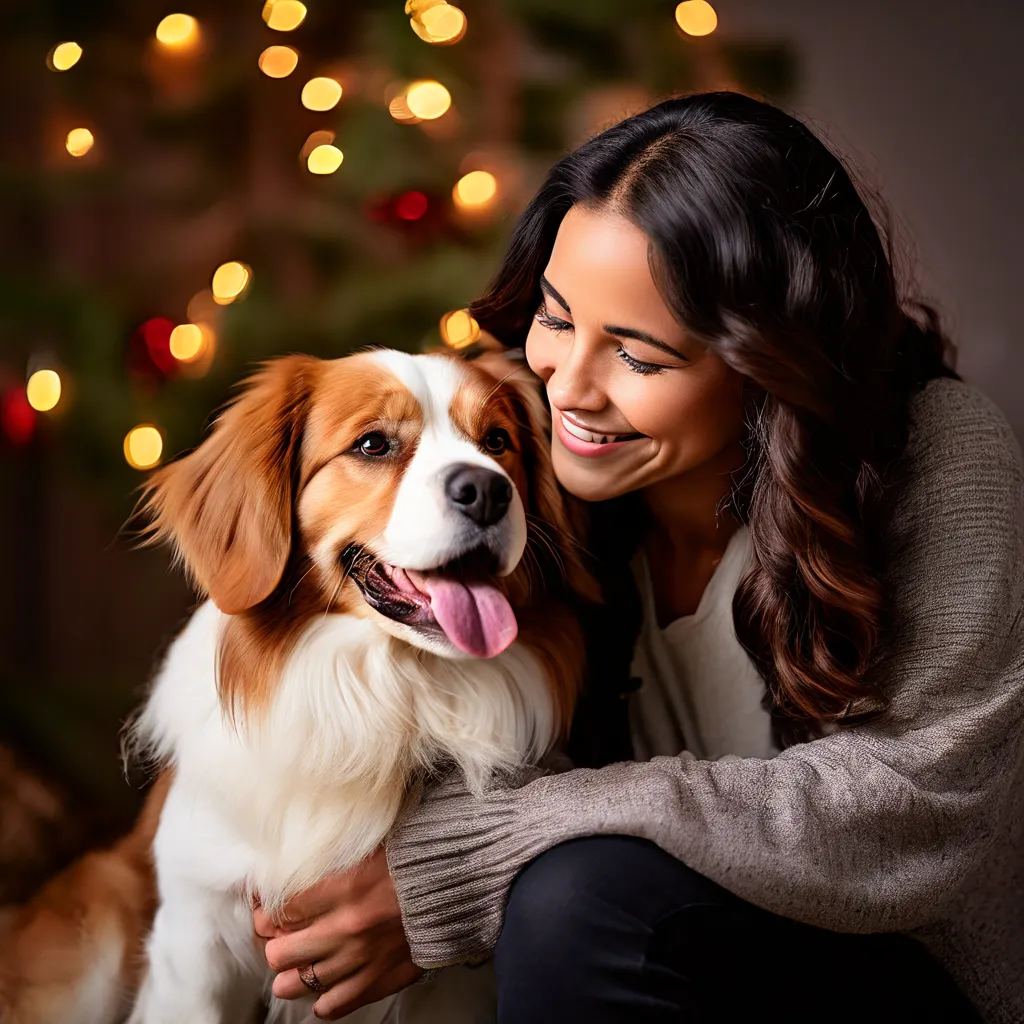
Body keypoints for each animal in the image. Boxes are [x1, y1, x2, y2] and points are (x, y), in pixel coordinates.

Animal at [0, 346, 593, 1024]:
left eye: (497, 442)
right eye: (373, 444)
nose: (489, 491)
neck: (381, 697)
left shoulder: (457, 993)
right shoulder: (195, 944)